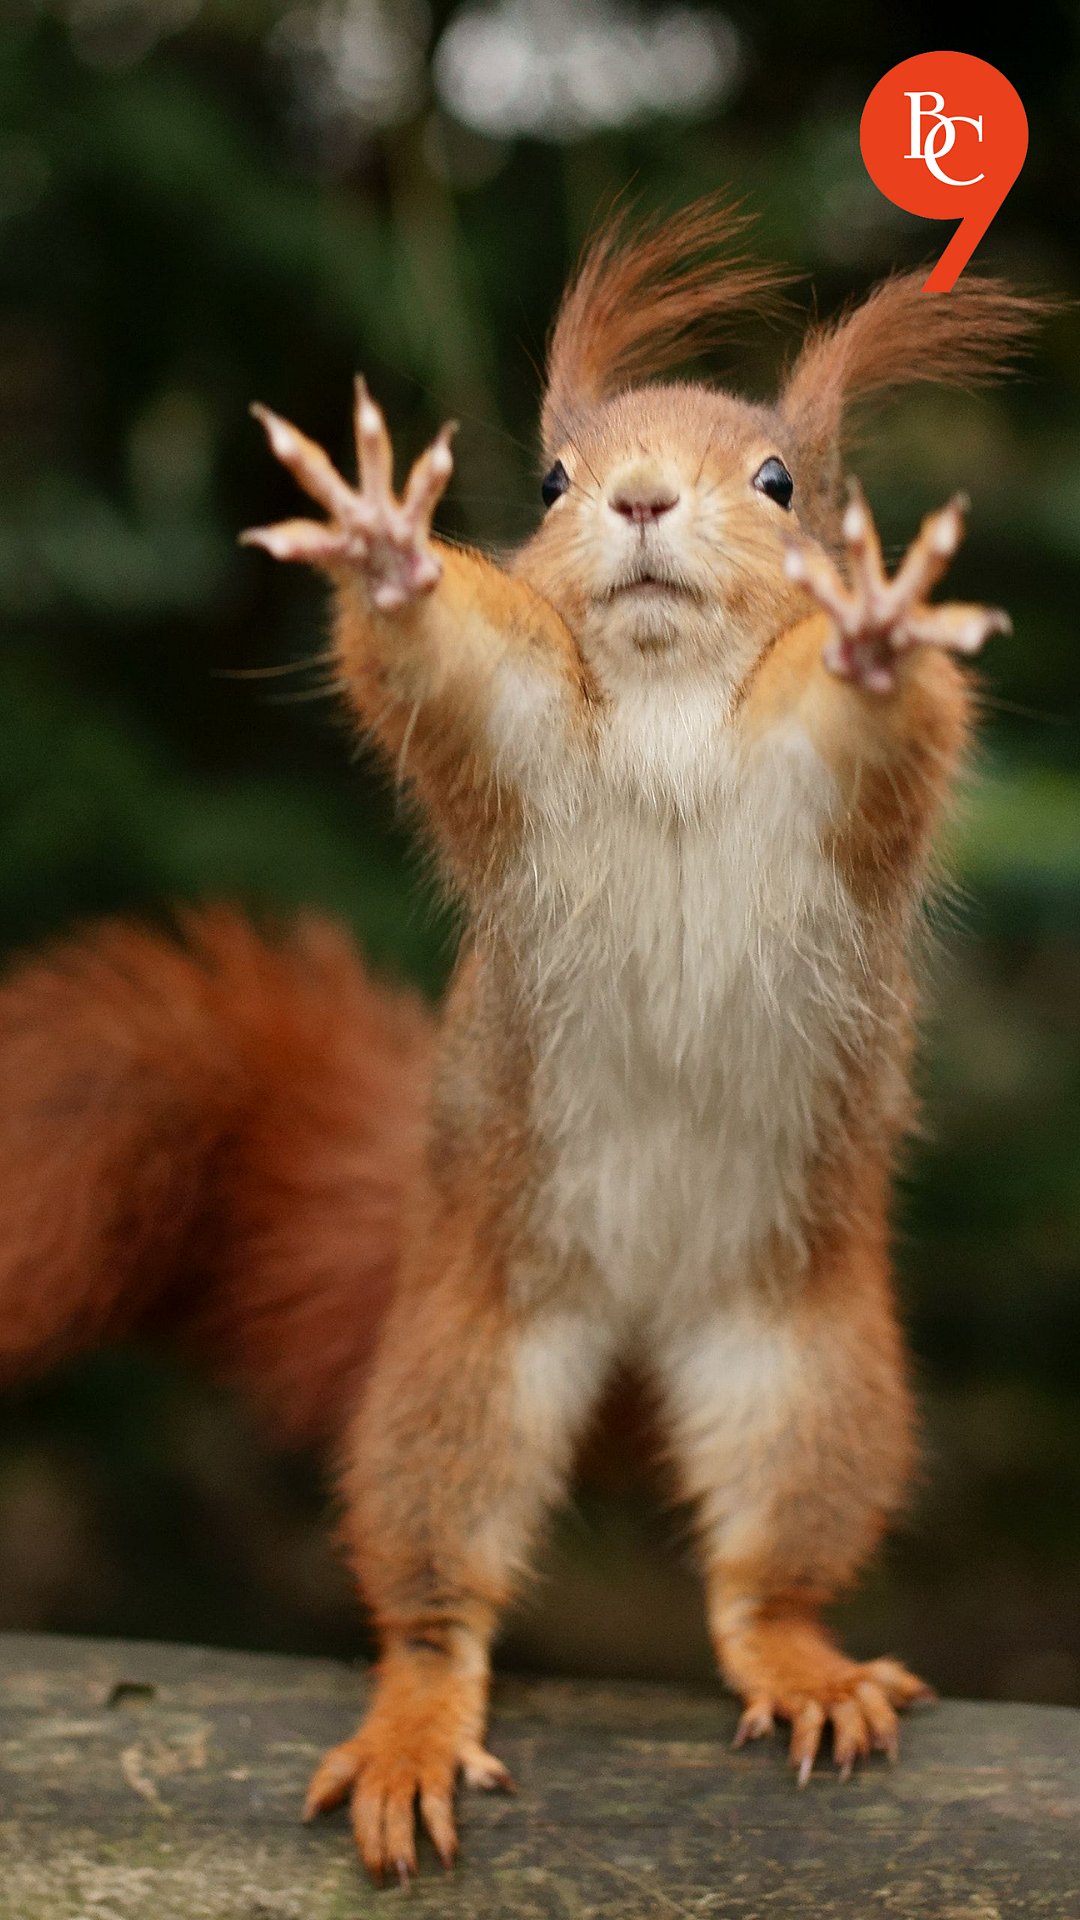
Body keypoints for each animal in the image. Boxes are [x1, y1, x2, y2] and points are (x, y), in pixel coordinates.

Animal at [0, 197, 1043, 1882]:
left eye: (780, 483)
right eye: (554, 479)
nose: (636, 498)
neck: (674, 698)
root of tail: (641, 1322)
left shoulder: (837, 798)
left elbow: (887, 722)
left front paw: (881, 632)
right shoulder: (521, 739)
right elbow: (447, 665)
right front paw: (388, 552)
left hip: (809, 1372)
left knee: (765, 1572)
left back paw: (804, 1660)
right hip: (466, 1360)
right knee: (436, 1580)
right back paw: (418, 1721)